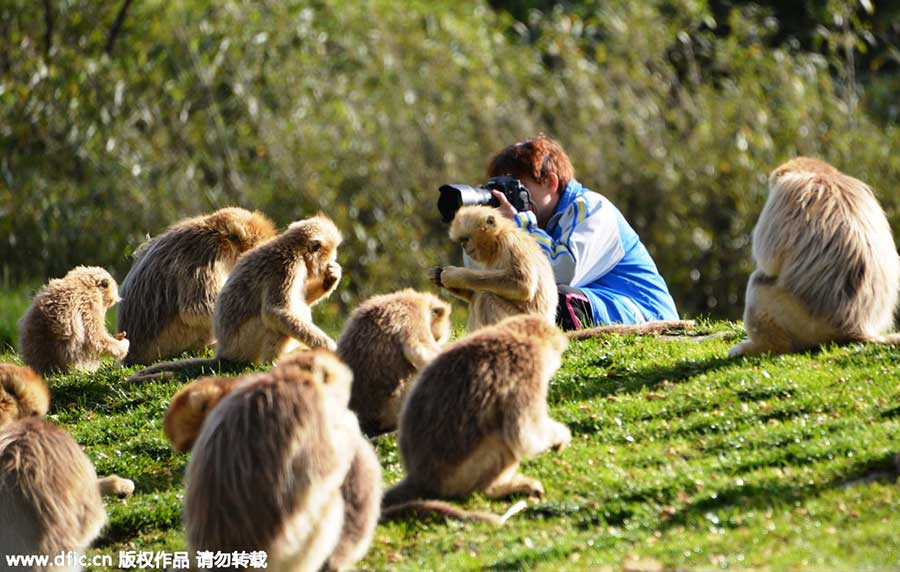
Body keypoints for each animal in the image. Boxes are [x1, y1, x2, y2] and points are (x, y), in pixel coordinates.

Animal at [381, 313, 571, 525]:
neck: (516, 335)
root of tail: (419, 477)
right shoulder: (527, 366)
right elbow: (525, 436)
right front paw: (561, 436)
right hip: (460, 476)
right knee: (502, 438)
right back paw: (495, 489)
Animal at [728, 157, 900, 358]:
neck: (824, 176)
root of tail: (856, 328)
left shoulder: (787, 192)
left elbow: (769, 262)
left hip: (805, 321)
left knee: (759, 282)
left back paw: (766, 347)